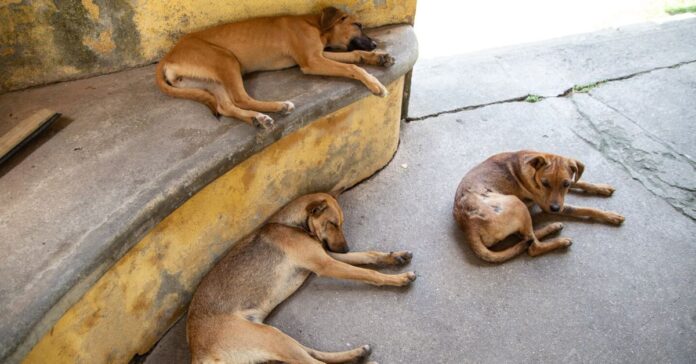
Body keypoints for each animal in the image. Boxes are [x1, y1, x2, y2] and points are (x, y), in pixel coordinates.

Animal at [156, 6, 394, 129]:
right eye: (358, 25)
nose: (375, 44)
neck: (315, 25)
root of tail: (167, 57)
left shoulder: (317, 55)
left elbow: (353, 55)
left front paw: (378, 57)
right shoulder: (312, 61)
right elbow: (353, 67)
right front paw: (374, 83)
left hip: (211, 80)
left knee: (225, 106)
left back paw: (256, 118)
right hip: (225, 59)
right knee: (240, 98)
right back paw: (279, 106)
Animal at [186, 192, 414, 362]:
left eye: (341, 223)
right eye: (332, 224)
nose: (345, 248)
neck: (292, 225)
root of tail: (196, 352)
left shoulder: (326, 255)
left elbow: (368, 255)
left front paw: (394, 257)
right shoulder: (325, 264)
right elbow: (368, 272)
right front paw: (398, 278)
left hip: (271, 336)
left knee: (310, 352)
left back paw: (358, 353)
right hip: (270, 337)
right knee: (312, 362)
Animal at [452, 149, 624, 264]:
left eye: (566, 184)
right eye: (545, 183)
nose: (554, 209)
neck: (533, 169)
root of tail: (469, 224)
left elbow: (582, 182)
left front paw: (602, 188)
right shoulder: (550, 205)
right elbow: (585, 209)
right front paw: (610, 215)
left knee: (527, 238)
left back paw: (553, 227)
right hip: (517, 203)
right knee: (532, 247)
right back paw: (560, 240)